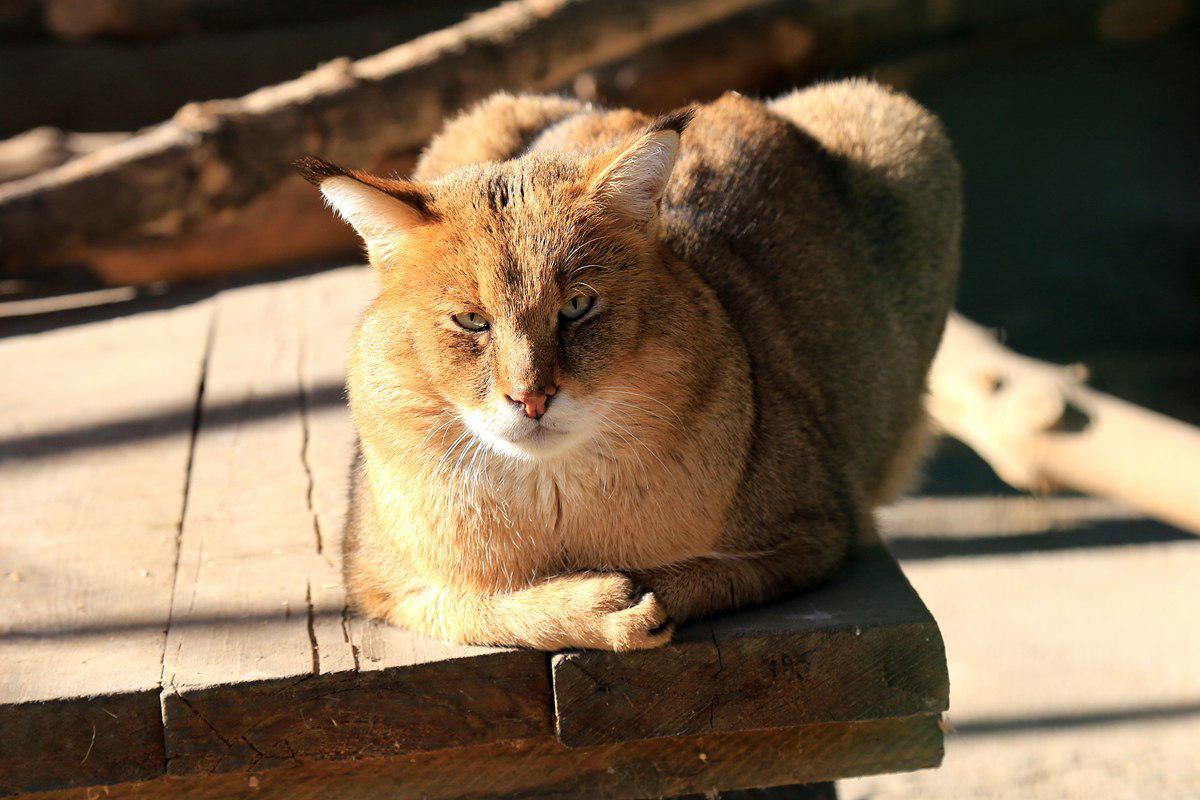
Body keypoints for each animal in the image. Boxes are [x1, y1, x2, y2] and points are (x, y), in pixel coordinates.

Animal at [295, 81, 960, 652]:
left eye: (577, 306)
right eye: (470, 321)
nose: (531, 397)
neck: (552, 489)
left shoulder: (818, 528)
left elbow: (715, 572)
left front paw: (634, 598)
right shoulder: (371, 577)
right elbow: (464, 605)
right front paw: (593, 606)